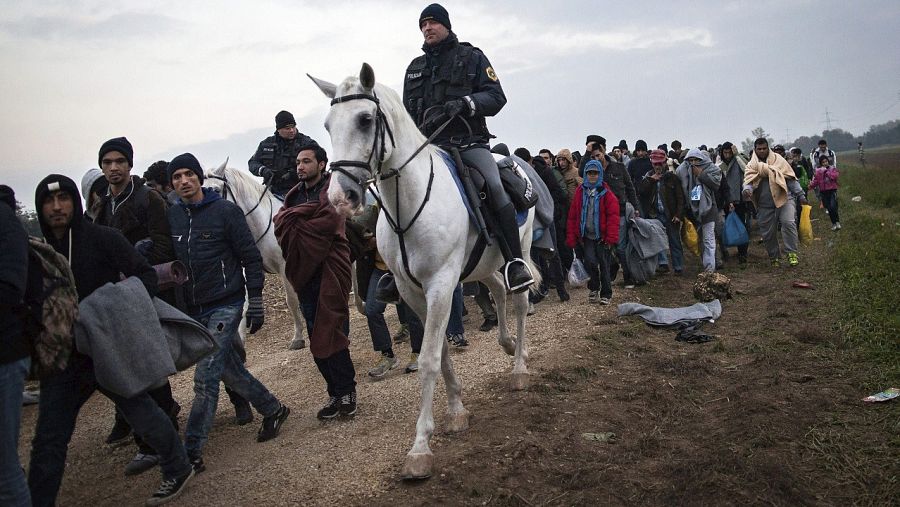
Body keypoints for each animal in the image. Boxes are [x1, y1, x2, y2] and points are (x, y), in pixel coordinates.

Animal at [203, 165, 308, 352]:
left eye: (216, 189)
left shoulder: (285, 267)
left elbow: (291, 300)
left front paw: (298, 338)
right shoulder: (248, 268)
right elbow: (244, 305)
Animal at [310, 63, 536, 480]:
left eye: (365, 120)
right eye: (329, 125)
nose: (339, 198)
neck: (408, 204)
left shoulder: (441, 285)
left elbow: (429, 357)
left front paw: (420, 447)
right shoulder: (412, 290)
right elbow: (441, 351)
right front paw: (457, 410)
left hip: (521, 250)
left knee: (518, 298)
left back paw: (519, 368)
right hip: (482, 266)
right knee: (498, 291)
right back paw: (509, 344)